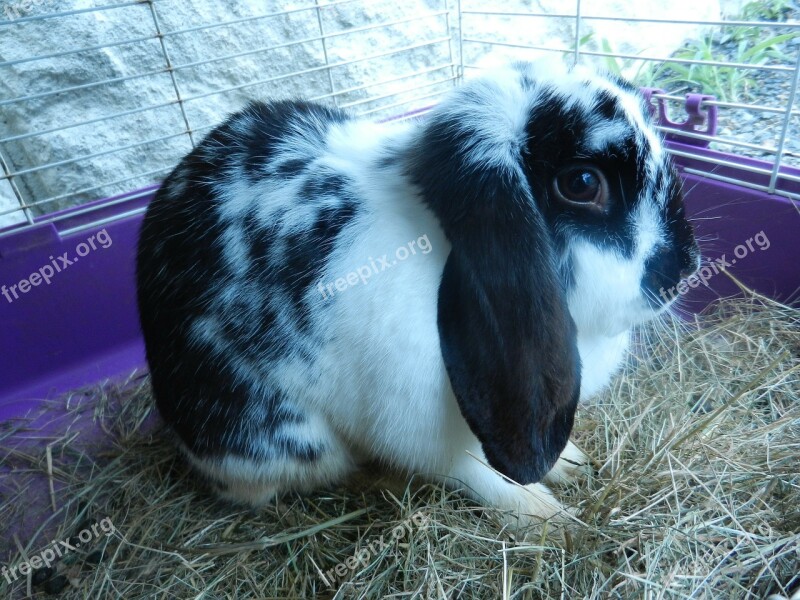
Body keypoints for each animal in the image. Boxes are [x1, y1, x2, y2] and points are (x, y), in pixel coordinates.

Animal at [138, 58, 700, 524]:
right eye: (582, 183)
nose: (683, 270)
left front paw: (569, 463)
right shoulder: (423, 430)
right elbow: (474, 473)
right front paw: (546, 516)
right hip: (283, 442)